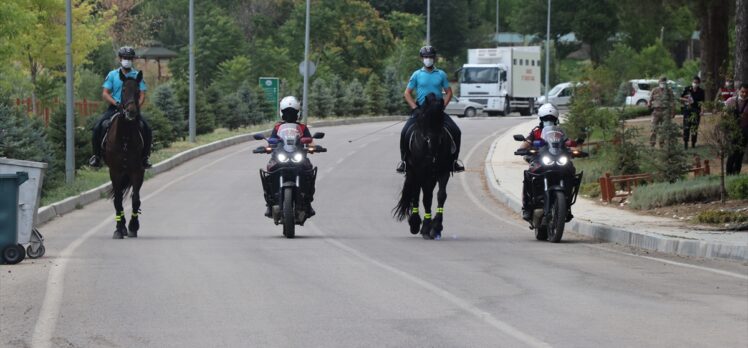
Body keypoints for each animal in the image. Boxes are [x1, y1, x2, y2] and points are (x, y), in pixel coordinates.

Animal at [104, 70, 147, 239]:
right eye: (122, 90)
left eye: (138, 90)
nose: (131, 111)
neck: (125, 139)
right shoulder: (114, 171)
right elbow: (117, 200)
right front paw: (119, 228)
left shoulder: (137, 171)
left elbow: (136, 200)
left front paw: (133, 227)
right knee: (119, 198)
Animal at [392, 96, 456, 239]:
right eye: (424, 116)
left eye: (441, 118)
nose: (433, 141)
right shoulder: (420, 172)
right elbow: (425, 198)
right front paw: (425, 226)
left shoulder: (443, 171)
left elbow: (441, 195)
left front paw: (436, 227)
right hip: (414, 173)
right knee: (417, 194)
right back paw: (415, 224)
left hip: (430, 176)